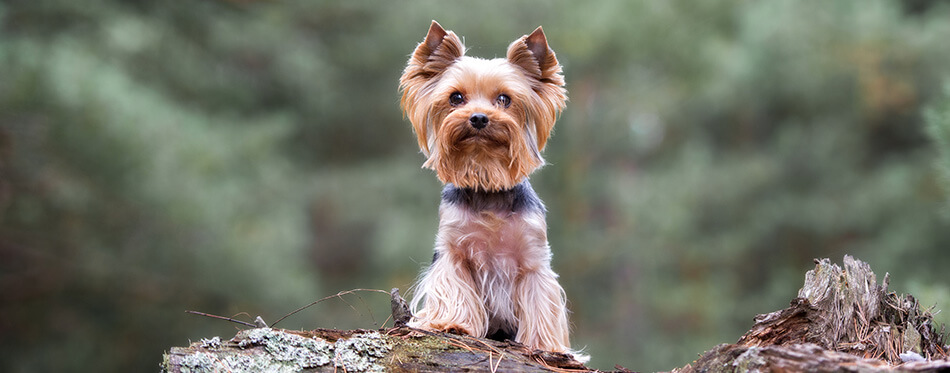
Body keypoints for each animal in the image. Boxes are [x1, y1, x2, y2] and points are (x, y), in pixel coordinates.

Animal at [400, 20, 584, 358]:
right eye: (456, 98)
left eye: (504, 99)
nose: (478, 117)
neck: (487, 180)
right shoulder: (452, 251)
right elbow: (454, 285)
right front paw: (452, 324)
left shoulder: (533, 259)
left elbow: (539, 299)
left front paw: (543, 345)